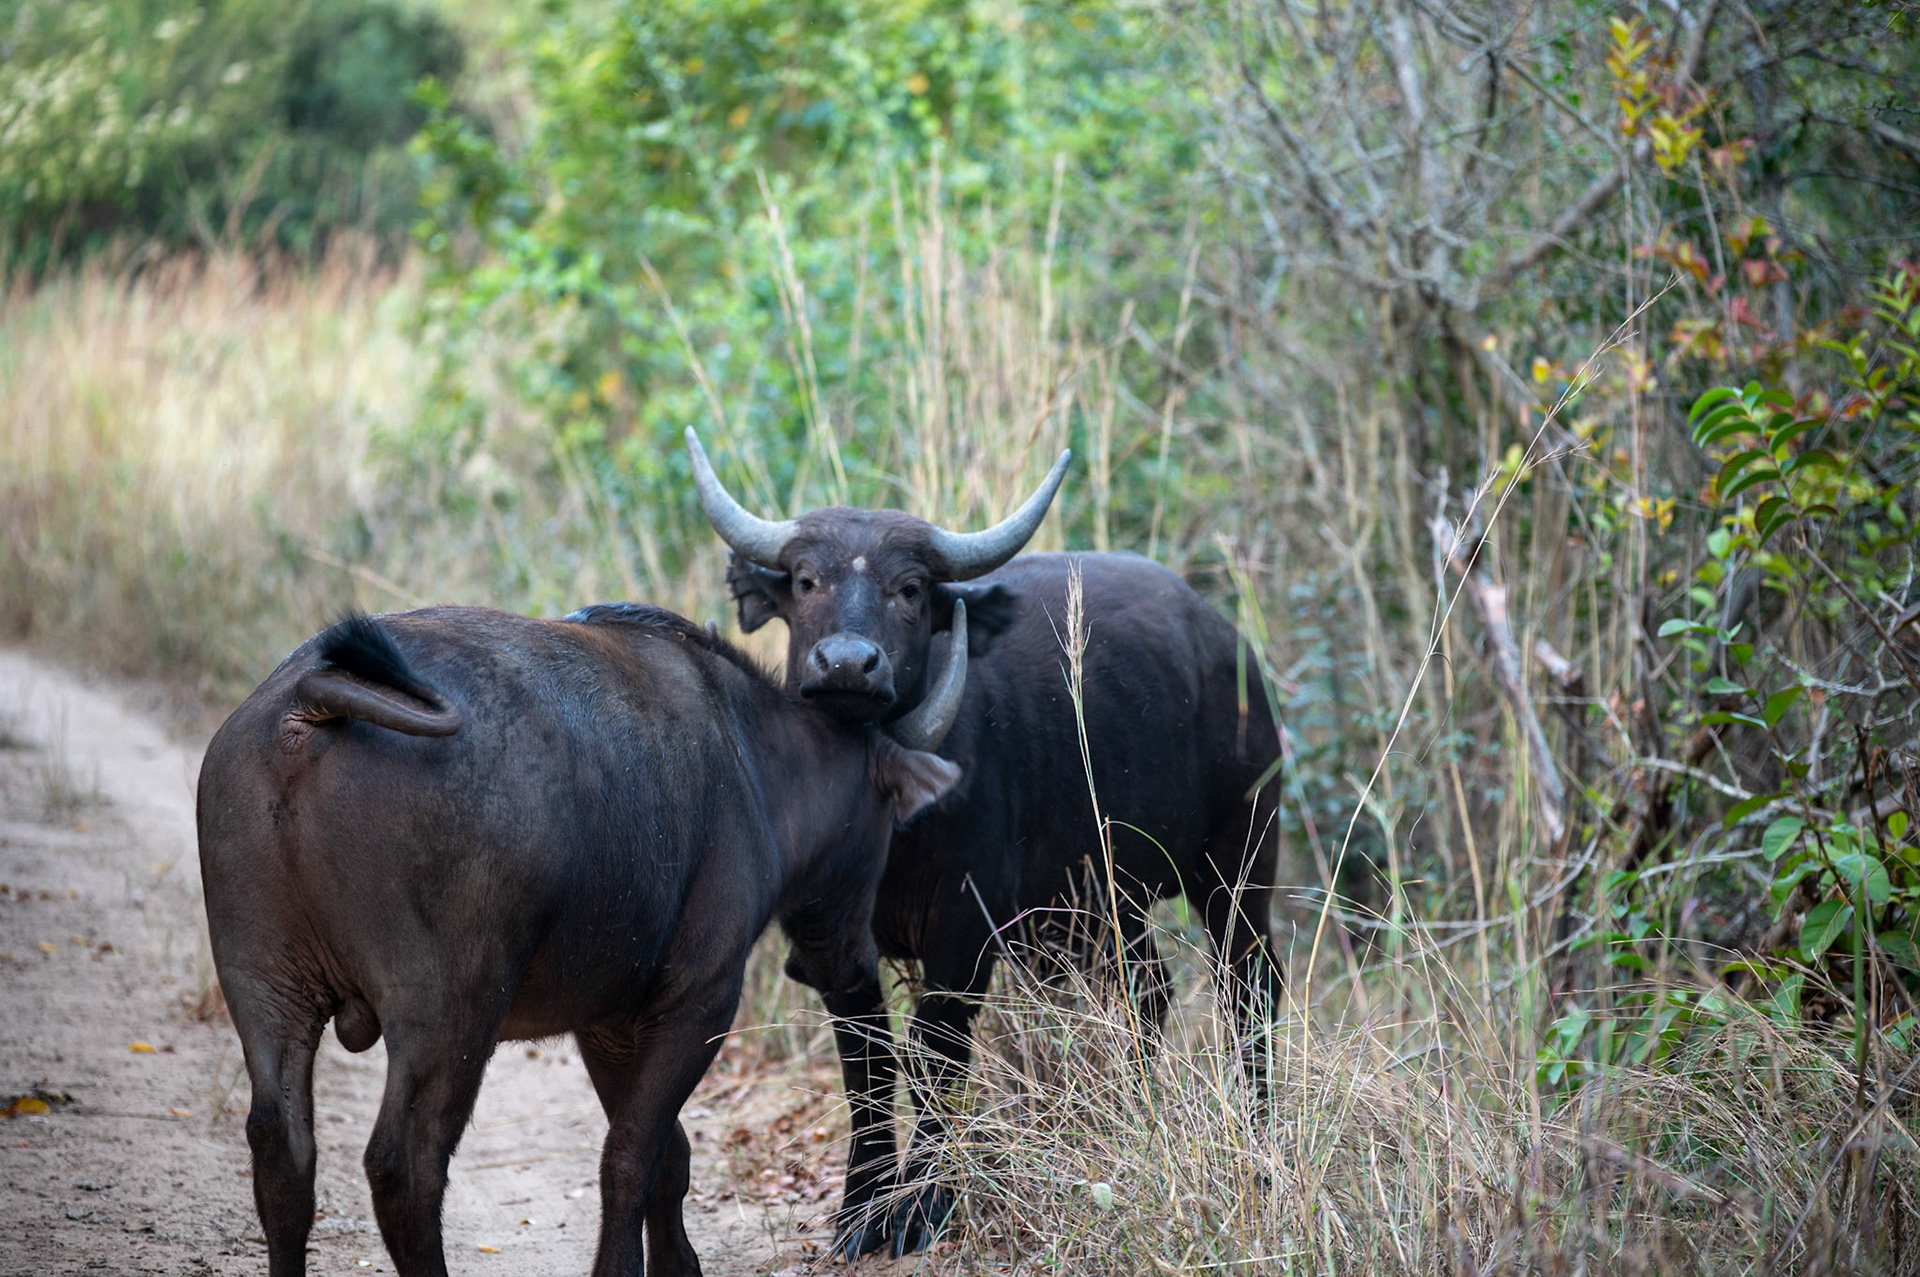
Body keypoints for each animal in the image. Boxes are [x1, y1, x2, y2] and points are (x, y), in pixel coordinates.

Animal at [196, 601, 967, 1277]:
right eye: (887, 823)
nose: (847, 963)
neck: (747, 752)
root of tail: (307, 707)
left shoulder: (607, 1025)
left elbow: (668, 1155)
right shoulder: (699, 1004)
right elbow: (629, 1157)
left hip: (265, 988)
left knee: (281, 1148)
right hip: (449, 1010)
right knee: (405, 1166)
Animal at [686, 429, 1285, 1257]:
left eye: (910, 588)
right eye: (806, 580)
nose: (847, 664)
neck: (895, 821)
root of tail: (1230, 645)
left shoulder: (963, 931)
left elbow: (935, 1052)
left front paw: (920, 1208)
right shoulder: (829, 940)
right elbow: (866, 1062)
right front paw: (861, 1208)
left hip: (1238, 860)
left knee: (1249, 986)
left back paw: (1259, 1144)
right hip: (1103, 900)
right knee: (1146, 989)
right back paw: (1125, 1119)